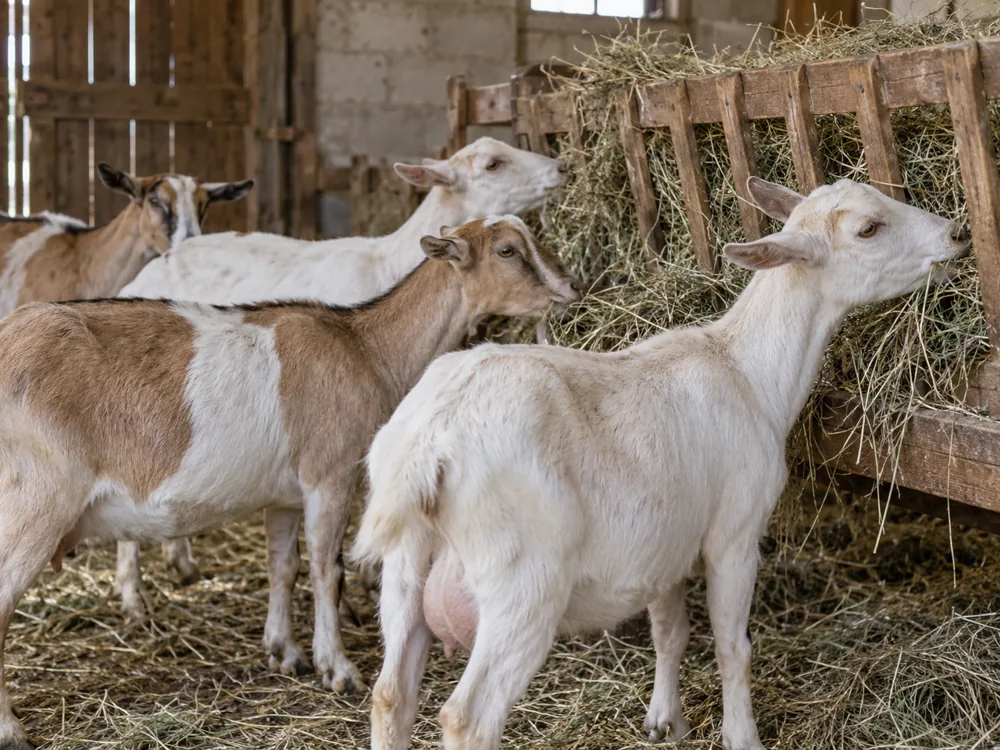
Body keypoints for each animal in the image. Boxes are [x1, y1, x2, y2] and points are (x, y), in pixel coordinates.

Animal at [0, 216, 579, 750]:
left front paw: (285, 651)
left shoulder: (284, 496)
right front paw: (337, 668)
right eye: (507, 251)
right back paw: (11, 729)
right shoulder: (329, 477)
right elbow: (327, 570)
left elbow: (284, 566)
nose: (571, 287)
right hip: (36, 504)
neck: (366, 348)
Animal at [353, 178, 970, 750]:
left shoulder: (663, 549)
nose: (958, 235)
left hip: (406, 569)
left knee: (391, 696)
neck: (748, 371)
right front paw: (741, 736)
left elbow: (669, 632)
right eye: (868, 229)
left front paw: (664, 721)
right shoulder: (734, 534)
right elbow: (732, 646)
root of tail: (431, 440)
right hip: (521, 581)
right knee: (468, 718)